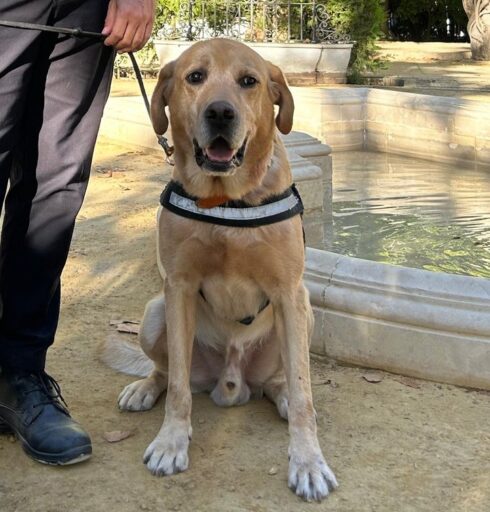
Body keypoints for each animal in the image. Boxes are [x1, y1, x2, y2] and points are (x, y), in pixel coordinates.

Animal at [104, 39, 336, 500]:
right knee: (166, 371)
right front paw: (171, 442)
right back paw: (144, 388)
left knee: (283, 380)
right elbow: (178, 387)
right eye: (195, 77)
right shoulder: (178, 288)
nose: (220, 113)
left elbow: (305, 392)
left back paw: (281, 395)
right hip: (154, 314)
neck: (225, 199)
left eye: (249, 81)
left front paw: (308, 462)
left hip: (304, 315)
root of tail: (231, 384)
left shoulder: (289, 292)